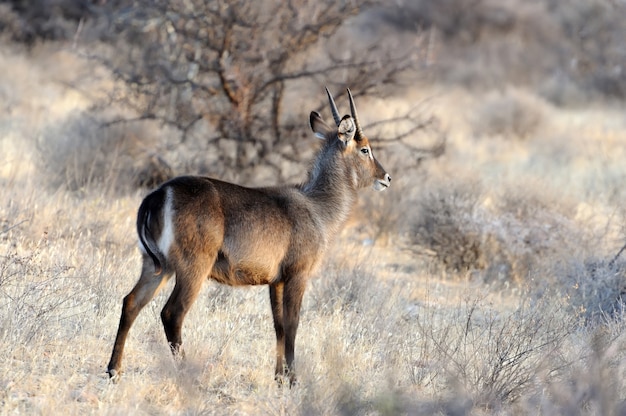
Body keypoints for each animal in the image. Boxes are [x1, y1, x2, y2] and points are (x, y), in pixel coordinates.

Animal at [107, 87, 390, 384]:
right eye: (365, 149)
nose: (387, 178)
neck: (317, 206)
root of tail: (158, 194)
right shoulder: (298, 275)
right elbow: (293, 324)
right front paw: (293, 380)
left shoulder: (275, 281)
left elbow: (279, 326)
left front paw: (279, 379)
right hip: (193, 268)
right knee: (172, 313)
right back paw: (188, 376)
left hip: (157, 266)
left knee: (131, 302)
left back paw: (114, 370)